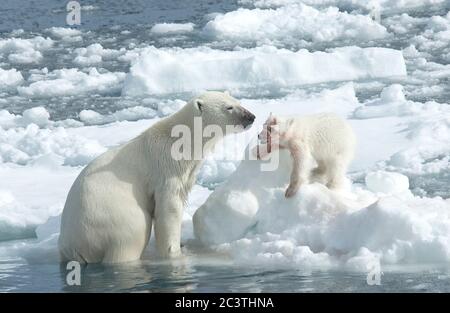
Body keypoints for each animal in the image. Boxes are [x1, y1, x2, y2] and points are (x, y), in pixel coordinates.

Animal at [59, 91, 255, 262]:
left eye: (237, 101)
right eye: (229, 107)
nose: (251, 116)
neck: (182, 141)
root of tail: (74, 247)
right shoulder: (166, 168)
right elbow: (169, 208)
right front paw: (175, 252)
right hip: (111, 218)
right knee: (132, 235)